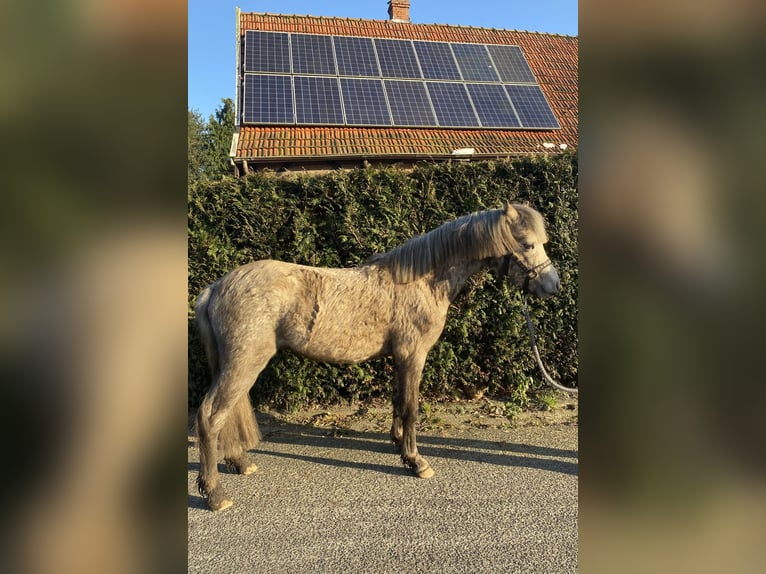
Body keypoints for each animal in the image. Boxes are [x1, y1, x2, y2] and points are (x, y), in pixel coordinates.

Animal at [195, 202, 560, 512]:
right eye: (528, 244)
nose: (553, 285)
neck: (422, 280)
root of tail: (213, 289)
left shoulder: (399, 357)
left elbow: (398, 402)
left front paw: (399, 446)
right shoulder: (413, 354)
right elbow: (411, 407)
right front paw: (416, 462)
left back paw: (239, 463)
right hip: (244, 363)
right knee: (211, 416)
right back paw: (214, 494)